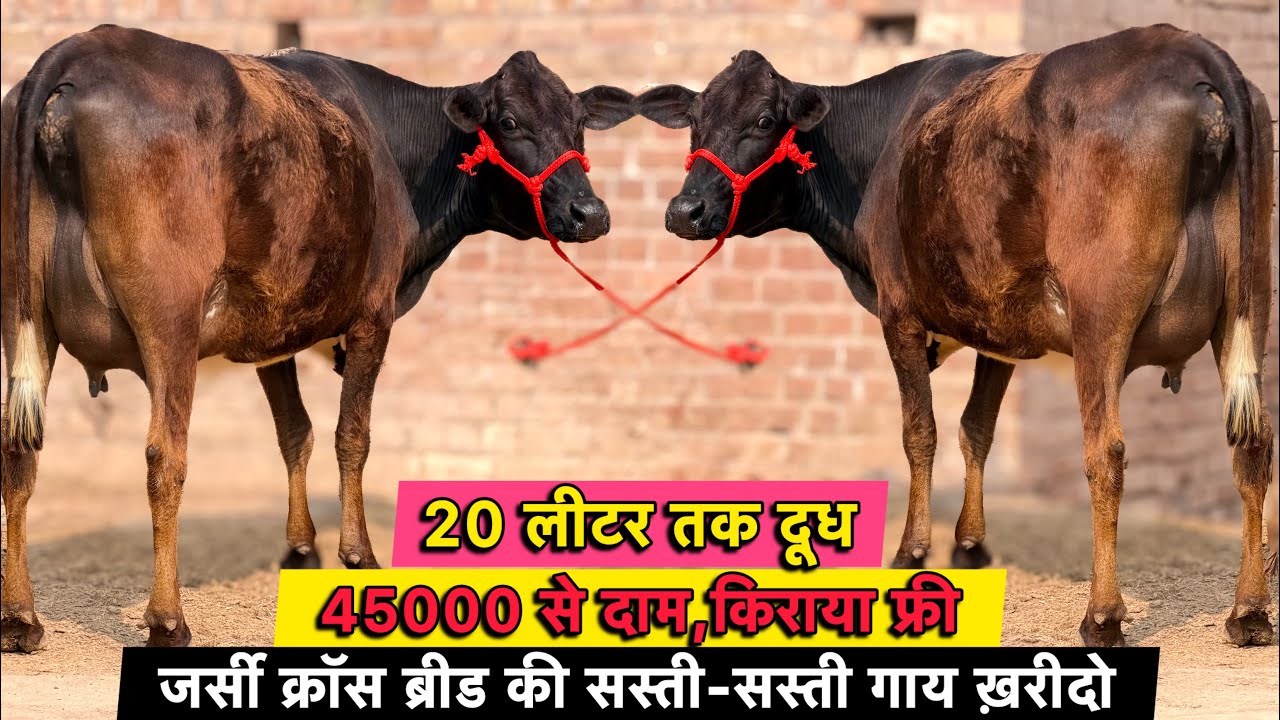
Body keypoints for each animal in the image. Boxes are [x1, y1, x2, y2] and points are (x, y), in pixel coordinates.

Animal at [0, 24, 634, 650]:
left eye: (578, 122)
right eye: (508, 121)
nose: (591, 212)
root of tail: (84, 48)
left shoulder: (271, 323)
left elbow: (295, 433)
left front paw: (303, 547)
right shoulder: (374, 313)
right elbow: (351, 435)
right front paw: (358, 555)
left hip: (22, 318)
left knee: (18, 450)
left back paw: (21, 618)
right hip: (170, 321)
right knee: (164, 457)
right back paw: (168, 620)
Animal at [635, 24, 1275, 647]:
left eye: (766, 121)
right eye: (695, 121)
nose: (684, 210)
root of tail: (1185, 46)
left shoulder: (899, 312)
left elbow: (921, 432)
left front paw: (911, 552)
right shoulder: (1001, 323)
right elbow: (976, 429)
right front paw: (969, 545)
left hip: (1100, 315)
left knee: (1106, 452)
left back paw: (1103, 616)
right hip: (1248, 308)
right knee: (1252, 444)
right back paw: (1247, 612)